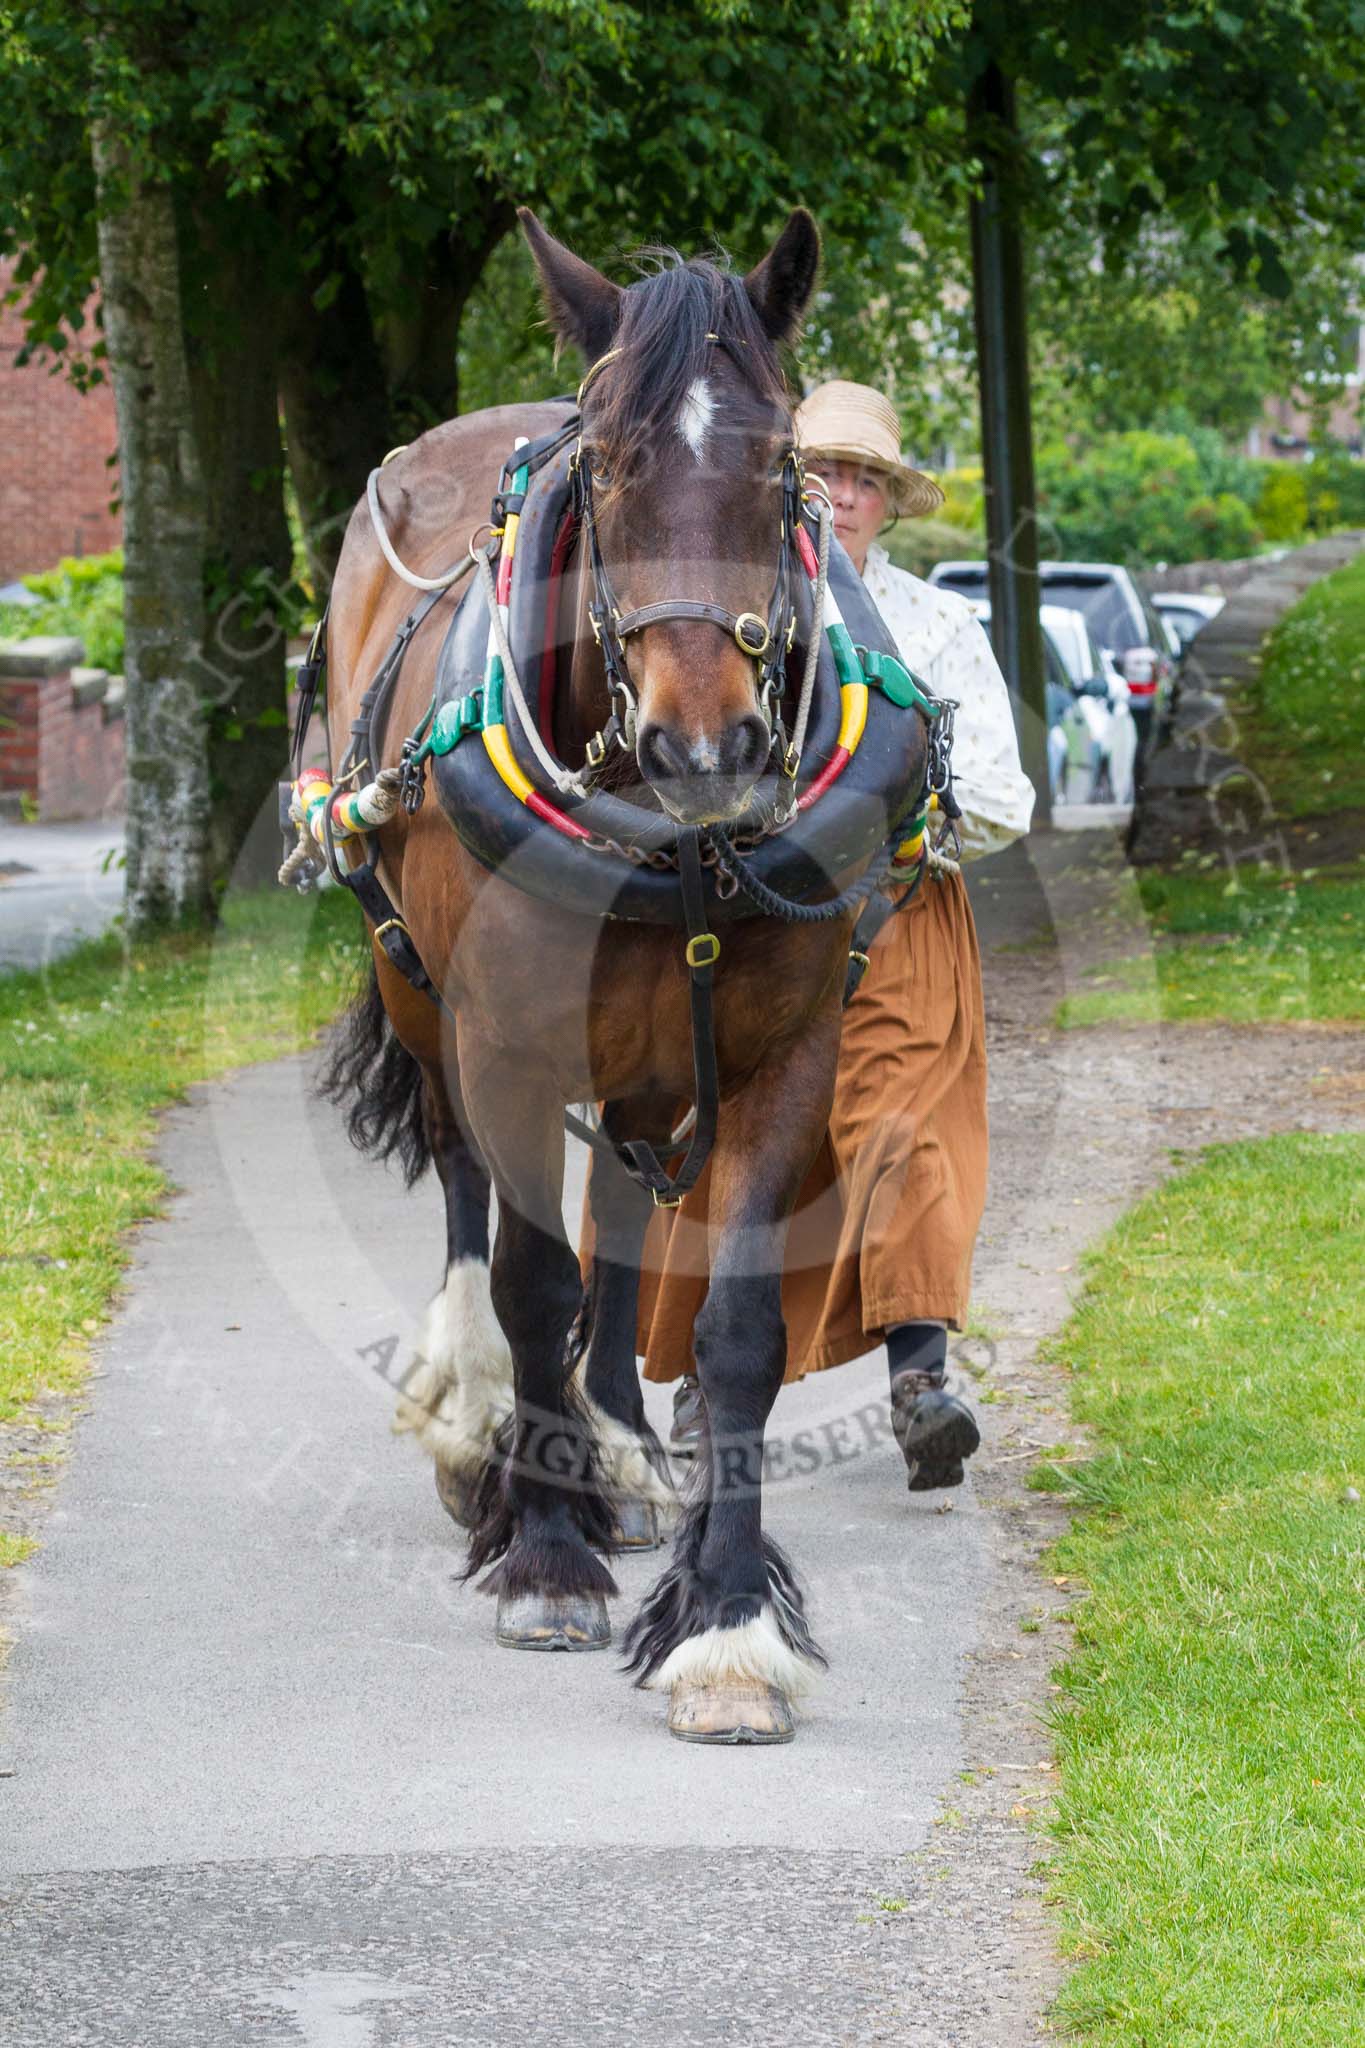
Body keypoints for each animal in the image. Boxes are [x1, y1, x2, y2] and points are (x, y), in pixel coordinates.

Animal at [325, 207, 933, 1744]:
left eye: (782, 465)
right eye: (603, 464)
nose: (702, 748)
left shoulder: (785, 1047)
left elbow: (732, 1325)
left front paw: (724, 1625)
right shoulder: (509, 1039)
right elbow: (535, 1279)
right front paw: (547, 1555)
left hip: (658, 1047)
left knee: (623, 1212)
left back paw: (617, 1451)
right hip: (422, 990)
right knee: (471, 1189)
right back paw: (485, 1425)